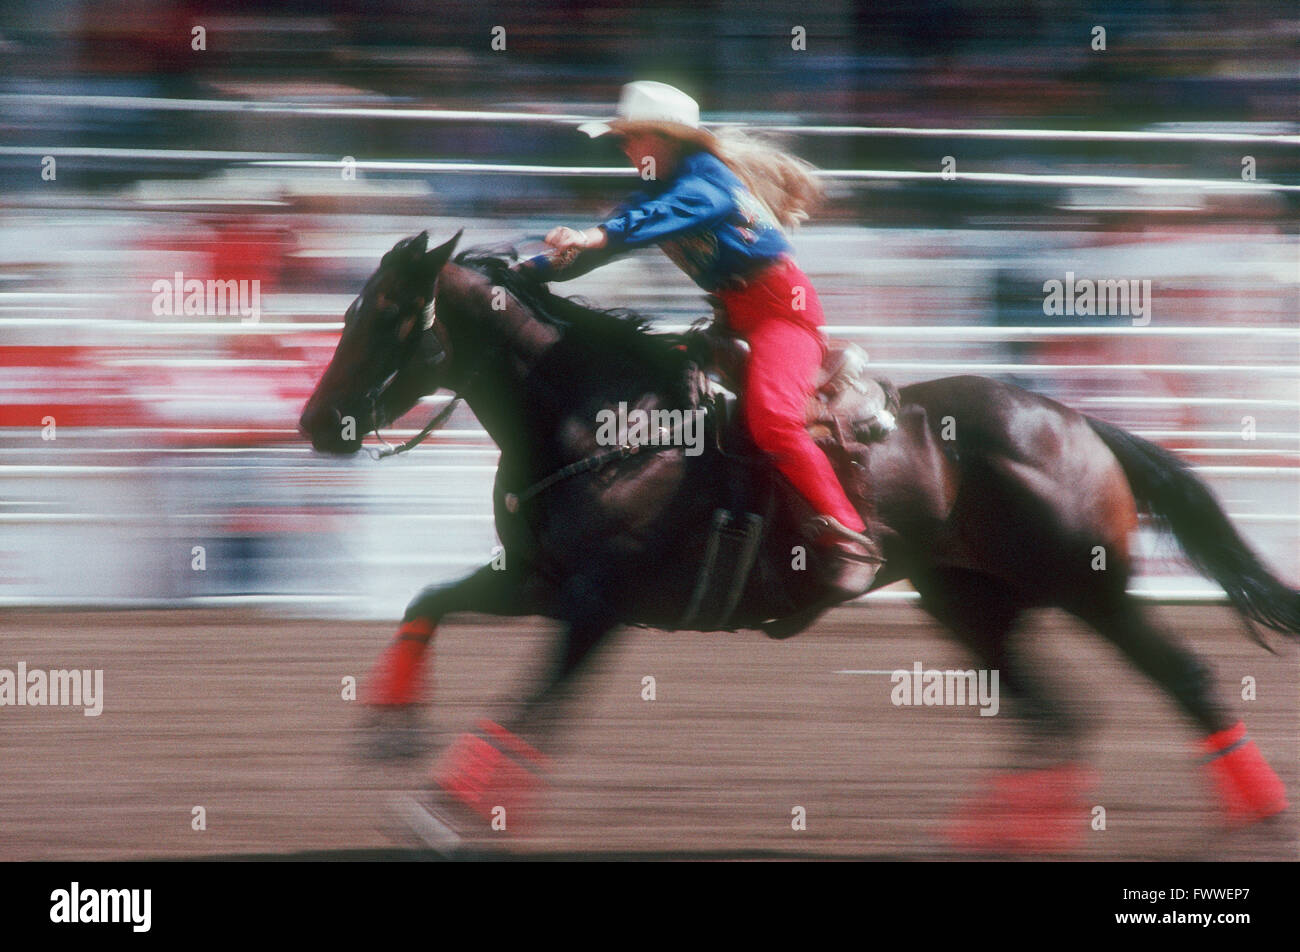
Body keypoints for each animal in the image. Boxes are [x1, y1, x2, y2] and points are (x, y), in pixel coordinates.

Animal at [299, 232, 1294, 853]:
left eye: (386, 315)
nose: (317, 424)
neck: (608, 422)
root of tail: (1076, 422)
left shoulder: (594, 608)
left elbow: (529, 713)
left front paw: (433, 818)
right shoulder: (537, 582)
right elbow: (428, 602)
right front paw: (388, 729)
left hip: (1091, 589)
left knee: (1187, 681)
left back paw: (1255, 819)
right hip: (970, 604)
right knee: (1056, 720)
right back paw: (984, 838)